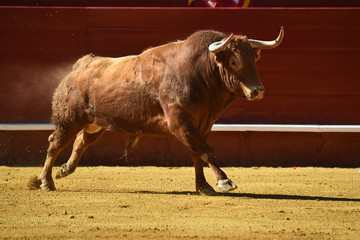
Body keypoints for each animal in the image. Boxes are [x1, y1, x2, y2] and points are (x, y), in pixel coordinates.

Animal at [28, 27, 284, 195]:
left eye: (254, 60)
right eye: (234, 61)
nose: (258, 91)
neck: (199, 72)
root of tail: (81, 66)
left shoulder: (202, 125)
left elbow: (197, 155)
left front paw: (203, 187)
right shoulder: (180, 123)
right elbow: (207, 152)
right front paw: (224, 181)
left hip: (95, 124)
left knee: (81, 142)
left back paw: (63, 171)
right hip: (68, 119)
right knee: (55, 144)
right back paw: (46, 181)